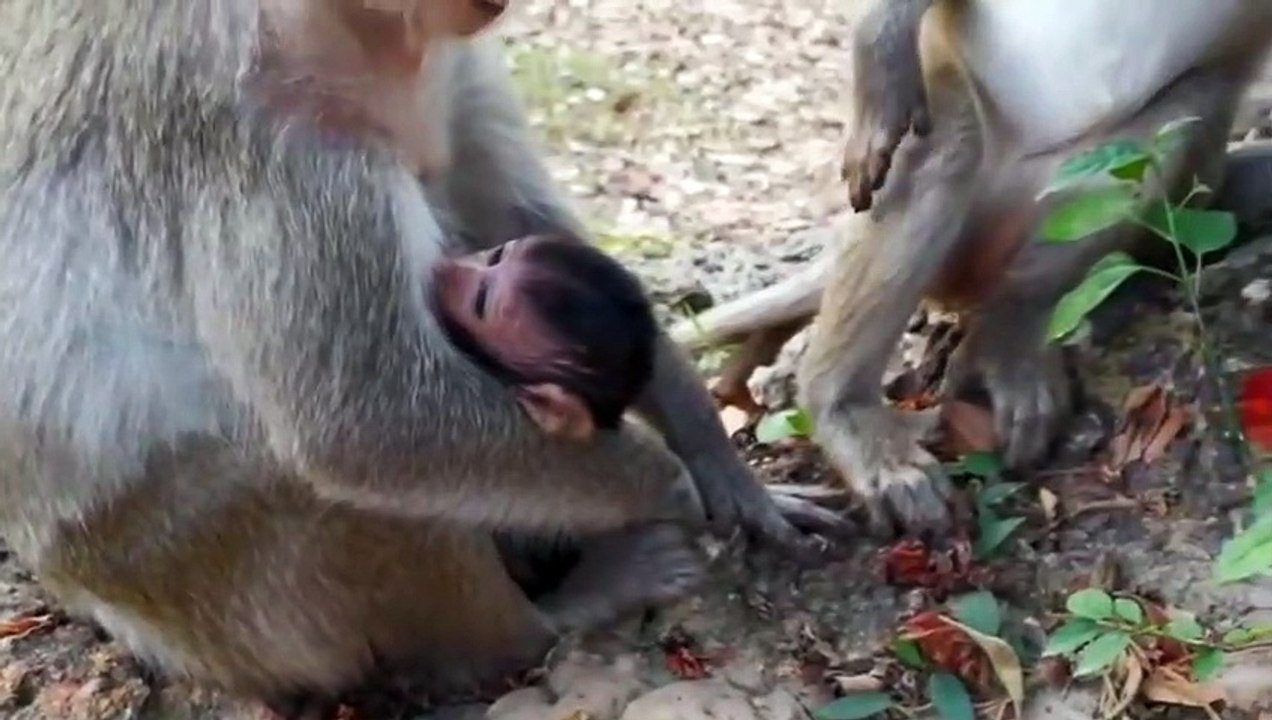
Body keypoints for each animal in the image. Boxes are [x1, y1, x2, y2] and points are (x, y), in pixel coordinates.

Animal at [671, 0, 1272, 537]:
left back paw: (1015, 328)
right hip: (967, 187)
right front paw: (882, 35)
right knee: (942, 138)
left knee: (1188, 110)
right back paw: (845, 409)